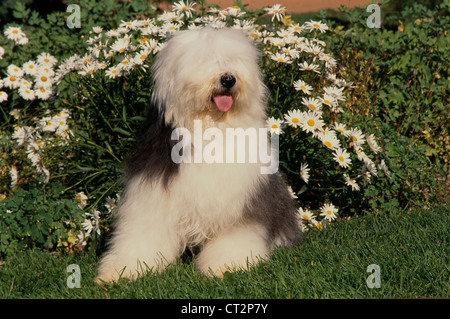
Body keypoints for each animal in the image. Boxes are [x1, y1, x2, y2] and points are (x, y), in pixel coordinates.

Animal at [98, 26, 302, 282]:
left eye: (233, 60)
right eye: (204, 60)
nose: (228, 79)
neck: (210, 128)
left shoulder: (238, 197)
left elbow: (236, 232)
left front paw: (229, 264)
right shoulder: (153, 192)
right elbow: (144, 232)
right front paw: (121, 270)